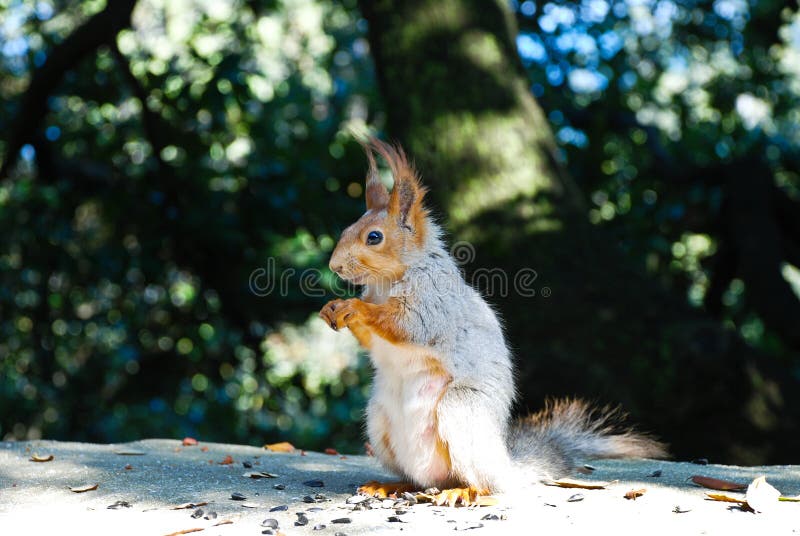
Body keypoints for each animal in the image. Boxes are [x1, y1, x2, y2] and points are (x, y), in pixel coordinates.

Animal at [320, 138, 667, 506]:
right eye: (346, 230)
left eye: (374, 237)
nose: (334, 266)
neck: (386, 282)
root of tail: (505, 467)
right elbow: (373, 339)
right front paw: (332, 308)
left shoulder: (434, 304)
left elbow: (407, 325)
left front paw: (355, 307)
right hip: (379, 420)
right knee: (418, 479)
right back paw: (391, 485)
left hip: (460, 411)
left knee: (481, 484)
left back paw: (464, 491)